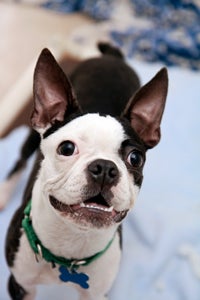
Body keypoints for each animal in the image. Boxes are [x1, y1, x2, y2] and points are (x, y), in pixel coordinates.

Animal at [3, 42, 168, 300]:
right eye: (67, 148)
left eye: (135, 158)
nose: (105, 168)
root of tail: (111, 58)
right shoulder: (20, 285)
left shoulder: (96, 293)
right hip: (31, 136)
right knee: (20, 161)